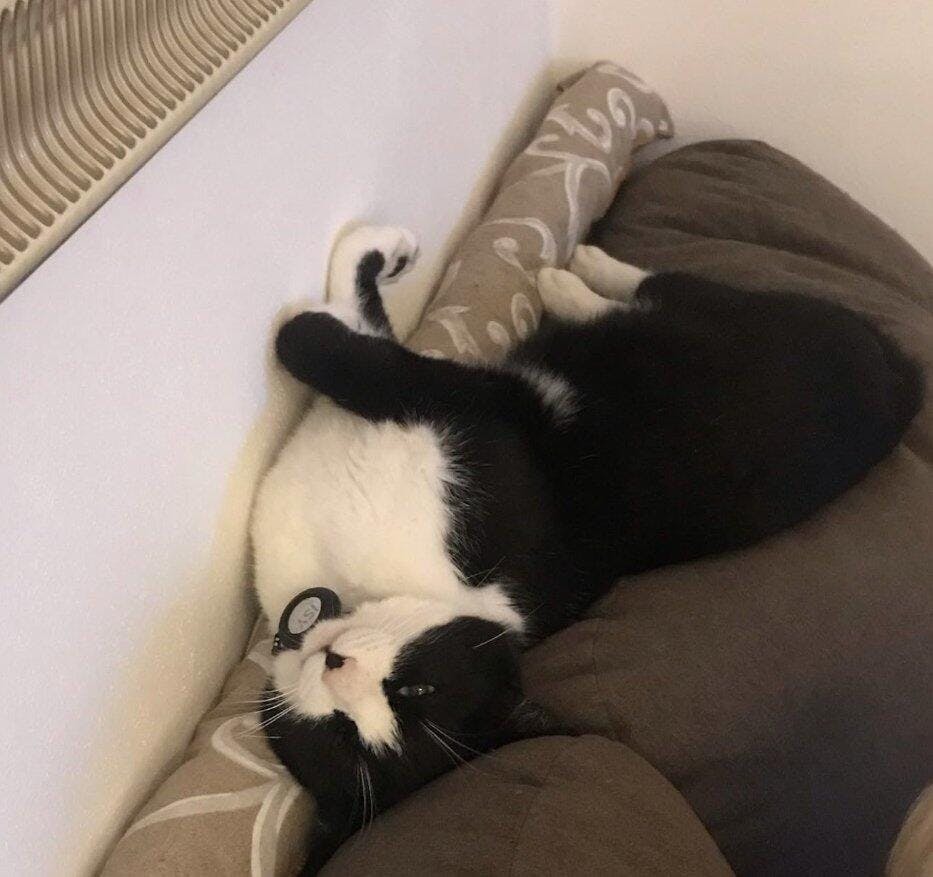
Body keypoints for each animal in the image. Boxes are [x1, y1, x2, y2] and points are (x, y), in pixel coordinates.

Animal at [251, 225, 922, 872]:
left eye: (415, 694)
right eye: (341, 734)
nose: (336, 666)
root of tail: (903, 388)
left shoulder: (476, 415)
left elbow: (327, 345)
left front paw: (376, 255)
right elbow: (351, 329)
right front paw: (376, 261)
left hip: (744, 315)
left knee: (667, 289)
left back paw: (575, 277)